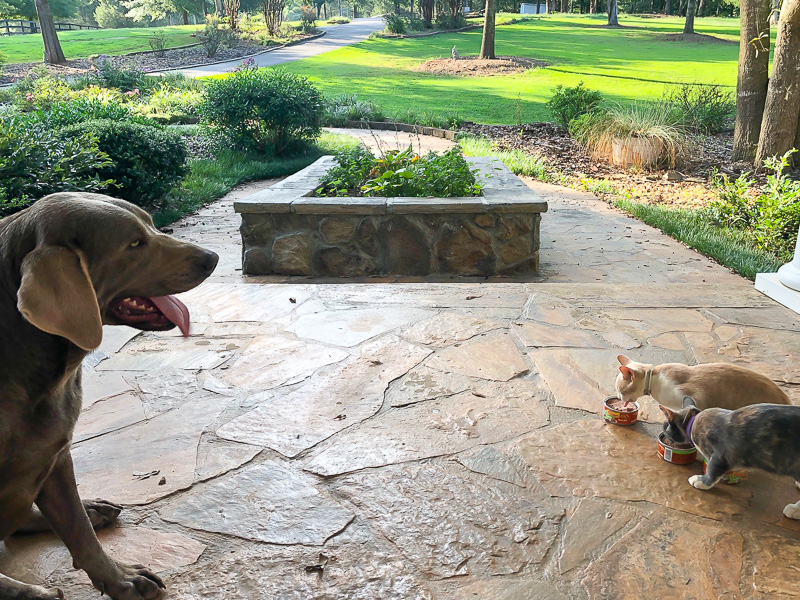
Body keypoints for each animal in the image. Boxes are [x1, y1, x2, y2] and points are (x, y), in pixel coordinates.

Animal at [0, 193, 217, 600]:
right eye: (134, 244)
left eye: (151, 223)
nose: (212, 258)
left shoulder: (55, 452)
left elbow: (78, 531)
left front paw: (120, 578)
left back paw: (92, 508)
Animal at [660, 396, 796, 516]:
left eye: (665, 427)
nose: (663, 434)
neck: (692, 422)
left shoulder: (720, 455)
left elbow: (712, 471)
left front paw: (701, 481)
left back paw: (794, 510)